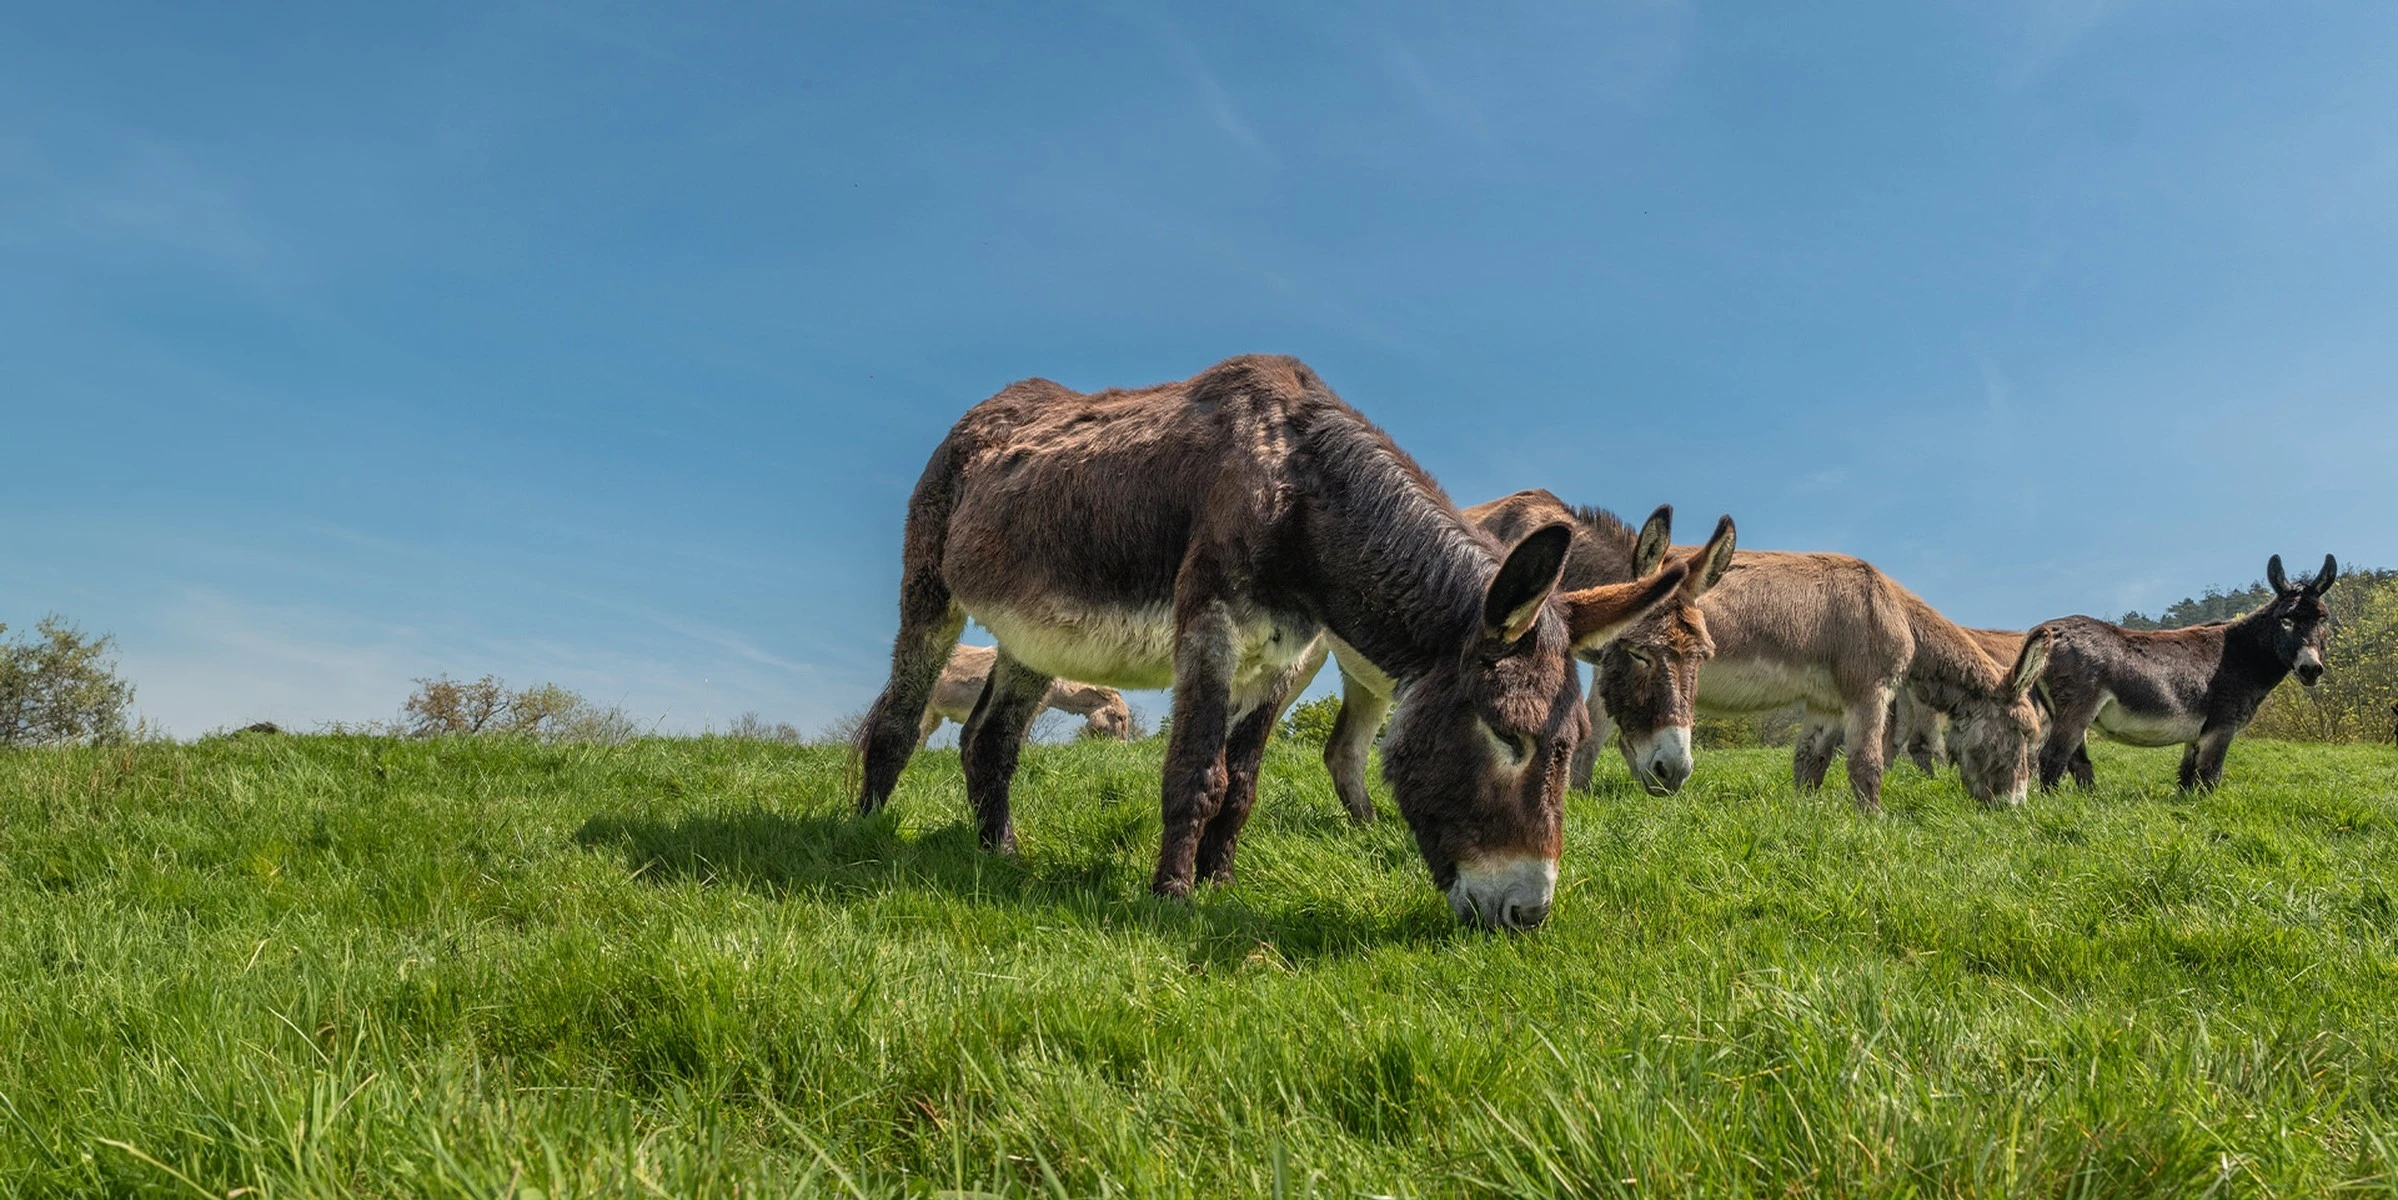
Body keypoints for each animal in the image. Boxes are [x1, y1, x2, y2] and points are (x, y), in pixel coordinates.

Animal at [852, 355, 1687, 928]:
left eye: (1571, 745)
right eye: (1506, 737)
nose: (1529, 915)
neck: (1303, 493)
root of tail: (991, 408)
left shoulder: (1280, 659)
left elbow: (1244, 783)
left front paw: (1220, 885)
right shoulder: (1210, 632)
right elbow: (1196, 773)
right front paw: (1172, 897)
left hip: (1034, 637)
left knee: (989, 741)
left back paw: (1000, 853)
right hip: (930, 590)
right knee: (894, 719)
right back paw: (860, 833)